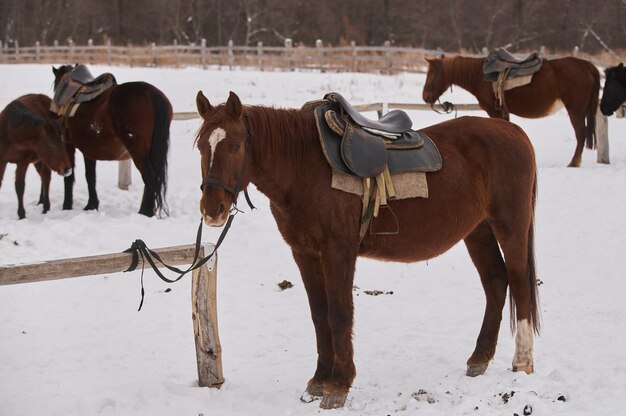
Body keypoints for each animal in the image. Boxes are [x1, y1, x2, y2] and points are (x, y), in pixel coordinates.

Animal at [51, 64, 172, 218]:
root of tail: (152, 94)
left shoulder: (68, 144)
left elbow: (70, 177)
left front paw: (67, 206)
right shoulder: (89, 151)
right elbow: (90, 177)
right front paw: (92, 205)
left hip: (137, 149)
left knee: (149, 176)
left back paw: (145, 212)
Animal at [194, 90, 536, 410]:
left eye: (235, 146)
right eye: (201, 147)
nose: (212, 210)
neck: (305, 166)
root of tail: (515, 133)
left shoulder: (338, 252)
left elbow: (339, 314)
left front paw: (338, 385)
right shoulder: (304, 253)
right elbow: (319, 316)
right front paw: (319, 380)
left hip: (510, 226)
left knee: (519, 282)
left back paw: (522, 360)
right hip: (478, 231)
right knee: (496, 282)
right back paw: (480, 358)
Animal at [422, 48, 596, 166]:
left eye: (431, 74)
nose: (425, 96)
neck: (479, 76)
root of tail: (588, 66)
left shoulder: (494, 111)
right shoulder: (503, 112)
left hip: (575, 109)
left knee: (581, 133)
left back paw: (574, 162)